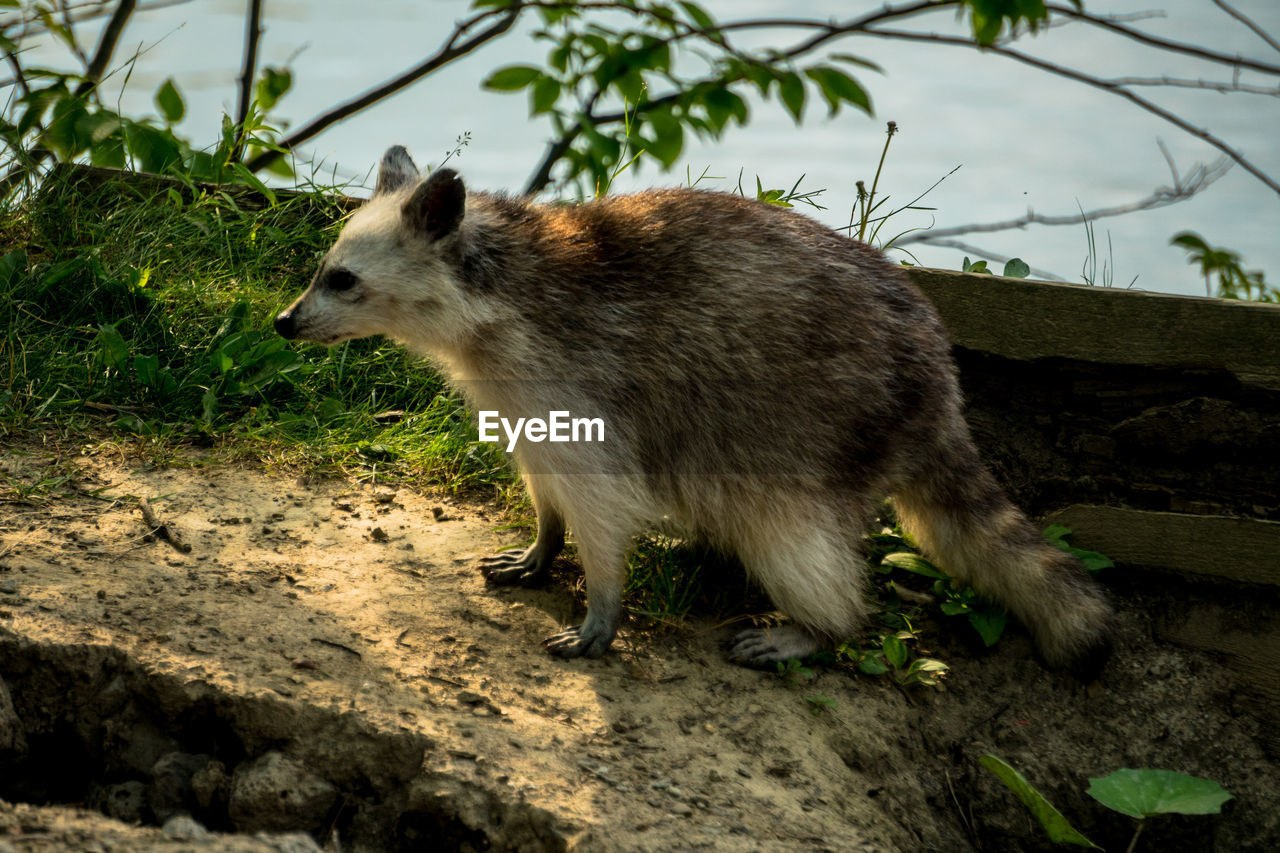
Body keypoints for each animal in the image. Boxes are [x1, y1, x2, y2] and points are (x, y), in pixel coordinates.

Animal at [277, 146, 1111, 671]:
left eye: (343, 280)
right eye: (323, 270)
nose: (283, 322)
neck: (493, 282)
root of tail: (939, 382)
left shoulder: (575, 378)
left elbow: (602, 500)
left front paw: (603, 599)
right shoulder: (519, 390)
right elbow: (543, 472)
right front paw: (547, 537)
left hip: (821, 424)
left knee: (790, 535)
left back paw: (824, 624)